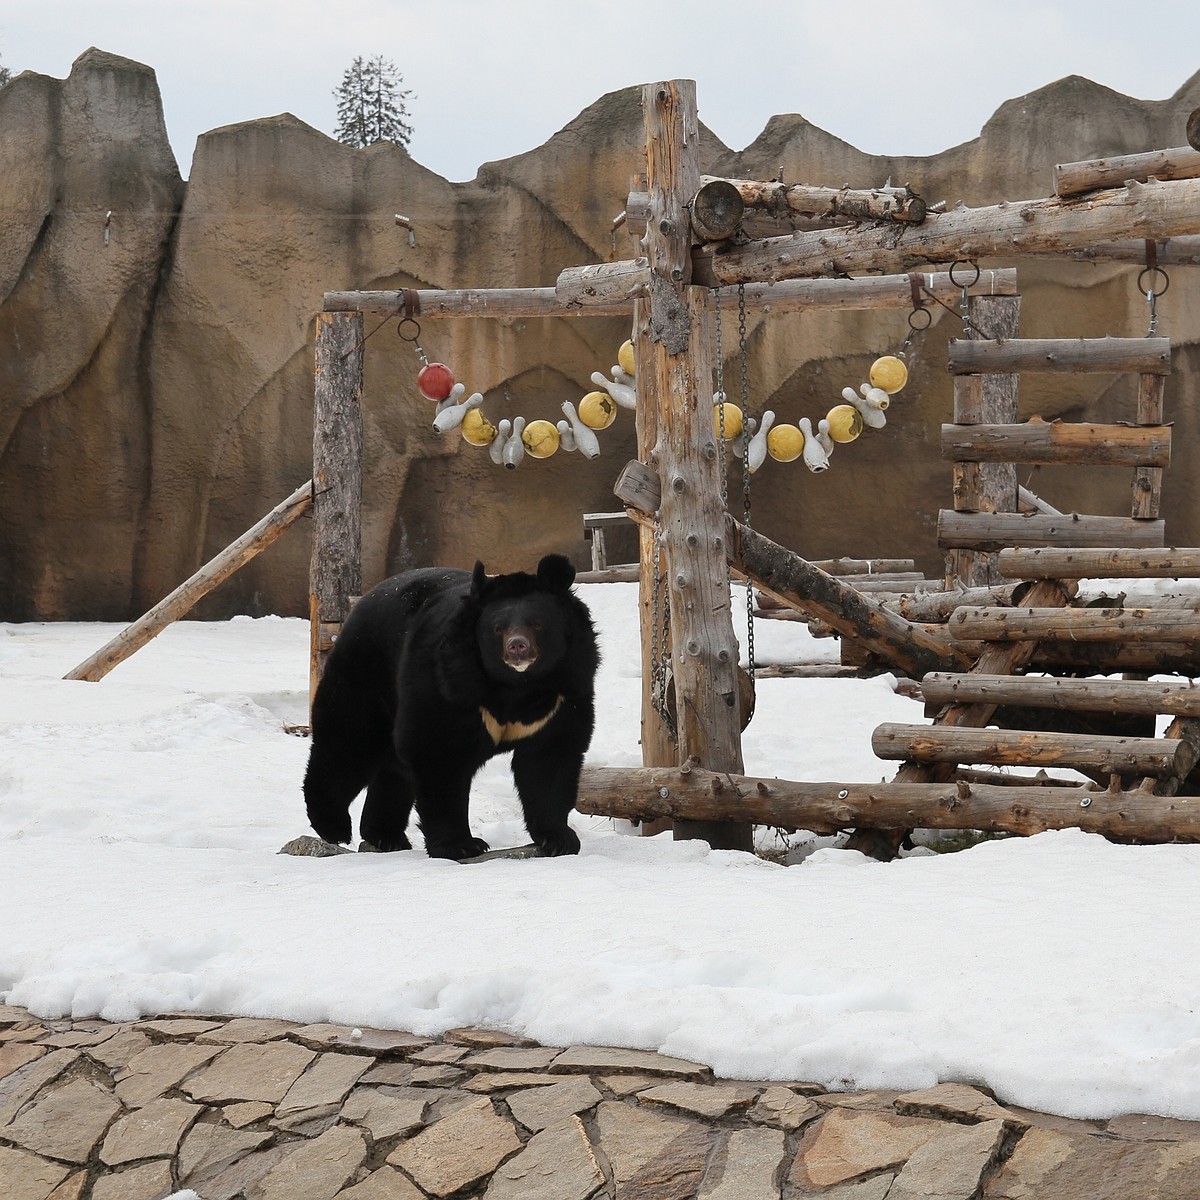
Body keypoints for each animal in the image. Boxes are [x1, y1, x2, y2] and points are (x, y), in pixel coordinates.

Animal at [302, 556, 597, 859]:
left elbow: (549, 760)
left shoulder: (563, 692)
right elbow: (440, 754)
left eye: (537, 624)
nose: (517, 647)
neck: (516, 685)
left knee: (393, 768)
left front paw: (560, 839)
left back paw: (387, 836)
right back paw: (333, 826)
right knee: (349, 744)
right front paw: (462, 845)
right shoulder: (449, 684)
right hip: (368, 676)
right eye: (497, 628)